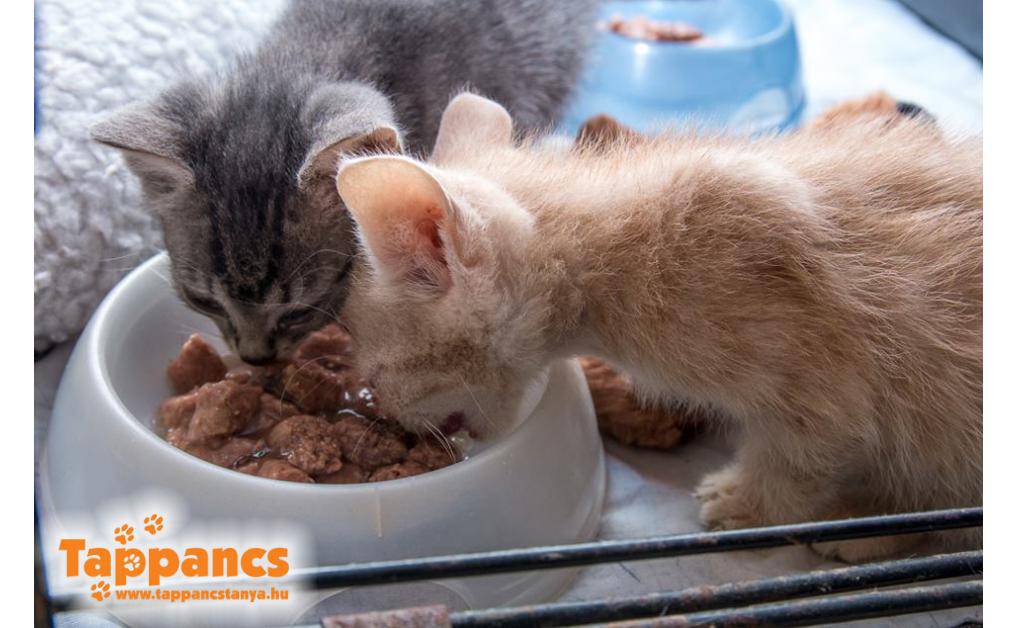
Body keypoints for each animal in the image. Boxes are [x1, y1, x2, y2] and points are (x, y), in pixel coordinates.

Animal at [333, 93, 982, 562]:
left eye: (378, 373)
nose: (387, 413)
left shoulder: (831, 381)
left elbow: (800, 457)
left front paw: (748, 505)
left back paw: (862, 527)